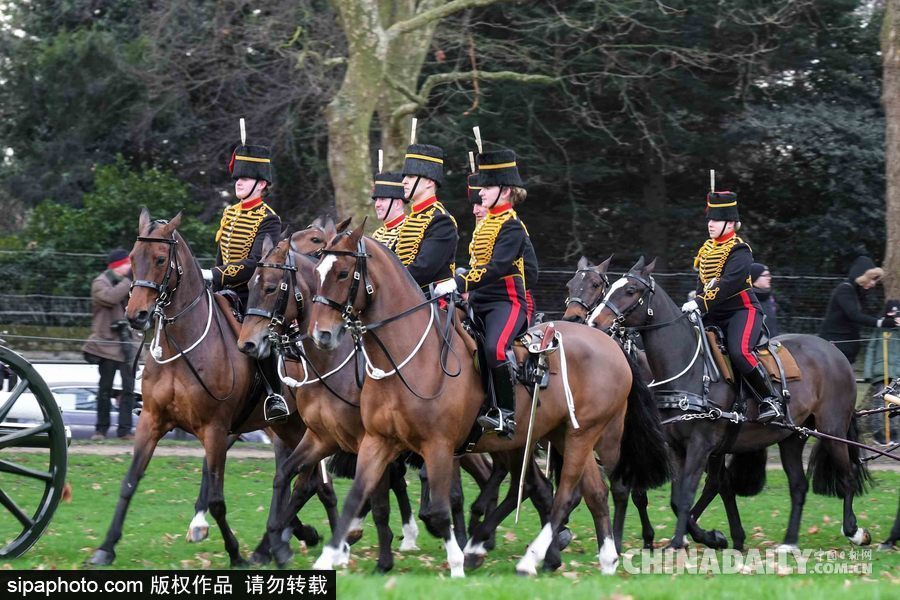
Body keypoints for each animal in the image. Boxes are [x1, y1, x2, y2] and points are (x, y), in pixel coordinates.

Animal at [89, 210, 334, 568]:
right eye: (133, 258)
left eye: (160, 259)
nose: (136, 315)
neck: (182, 345)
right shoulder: (151, 421)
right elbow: (130, 482)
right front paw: (106, 547)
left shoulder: (215, 430)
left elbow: (217, 499)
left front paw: (235, 553)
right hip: (288, 429)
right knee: (309, 481)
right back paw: (292, 539)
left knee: (307, 481)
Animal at [306, 225, 664, 576]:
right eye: (318, 270)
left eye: (342, 273)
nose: (321, 334)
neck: (408, 356)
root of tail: (610, 344)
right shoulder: (377, 440)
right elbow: (356, 497)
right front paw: (328, 557)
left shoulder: (438, 446)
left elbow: (441, 508)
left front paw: (455, 564)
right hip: (562, 434)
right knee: (593, 493)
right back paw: (604, 558)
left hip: (583, 435)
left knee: (569, 494)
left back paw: (526, 558)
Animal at [588, 255, 868, 552]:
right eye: (609, 287)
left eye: (631, 291)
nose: (594, 323)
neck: (692, 370)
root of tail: (834, 351)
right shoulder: (677, 447)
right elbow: (678, 499)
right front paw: (709, 537)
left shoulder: (701, 445)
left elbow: (686, 495)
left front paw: (680, 542)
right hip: (792, 437)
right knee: (798, 486)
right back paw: (790, 541)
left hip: (832, 429)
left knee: (848, 476)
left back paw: (854, 531)